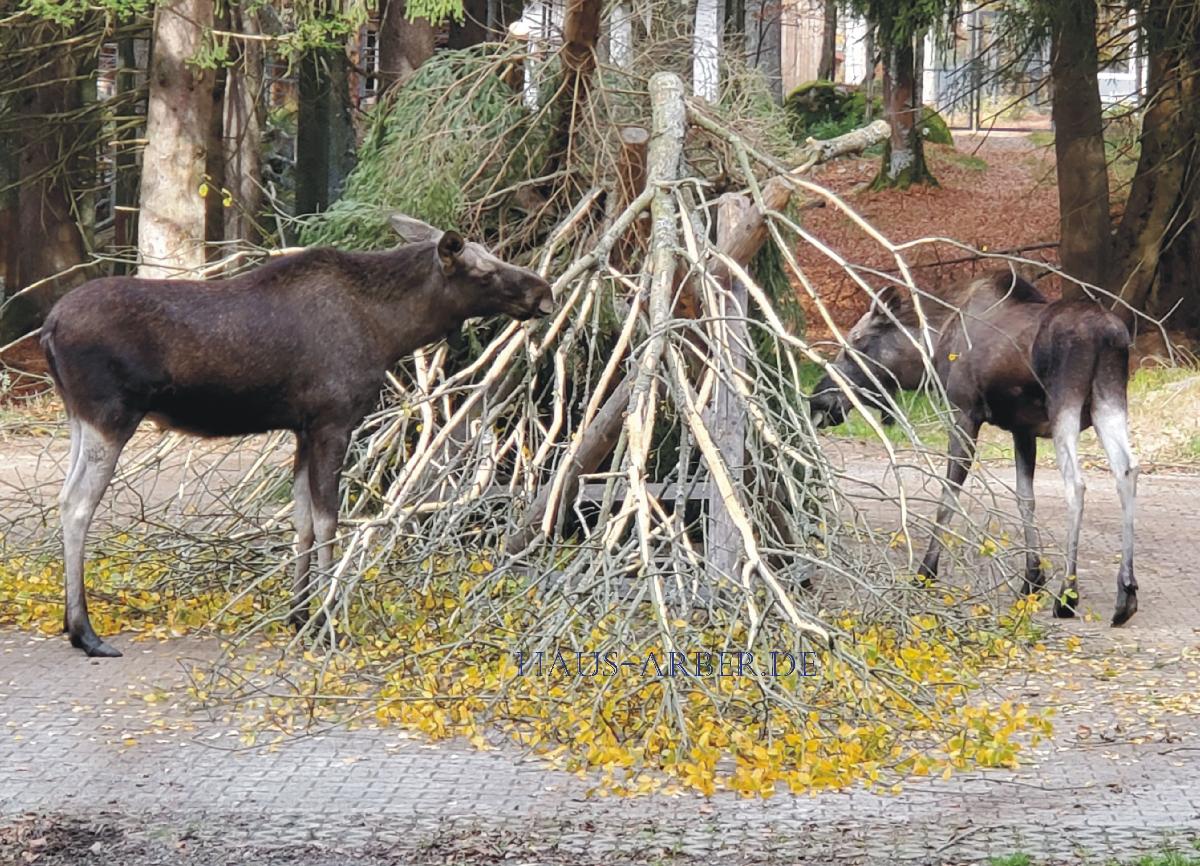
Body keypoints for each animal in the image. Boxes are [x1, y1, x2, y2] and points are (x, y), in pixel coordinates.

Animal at [39, 215, 554, 652]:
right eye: (483, 271)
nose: (544, 291)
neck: (390, 330)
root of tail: (49, 325)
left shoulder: (303, 429)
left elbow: (302, 519)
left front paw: (300, 614)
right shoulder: (333, 422)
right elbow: (328, 521)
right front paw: (327, 621)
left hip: (78, 418)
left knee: (63, 497)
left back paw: (71, 622)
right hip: (111, 415)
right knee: (78, 504)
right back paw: (85, 631)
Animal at [811, 268, 1137, 618]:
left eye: (855, 344)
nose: (818, 399)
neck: (930, 353)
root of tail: (1109, 336)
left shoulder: (964, 413)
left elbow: (947, 496)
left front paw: (925, 573)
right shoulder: (1022, 430)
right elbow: (1025, 498)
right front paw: (1032, 579)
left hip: (1065, 403)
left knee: (1076, 484)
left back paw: (1067, 595)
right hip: (1109, 399)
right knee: (1127, 472)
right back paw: (1126, 592)